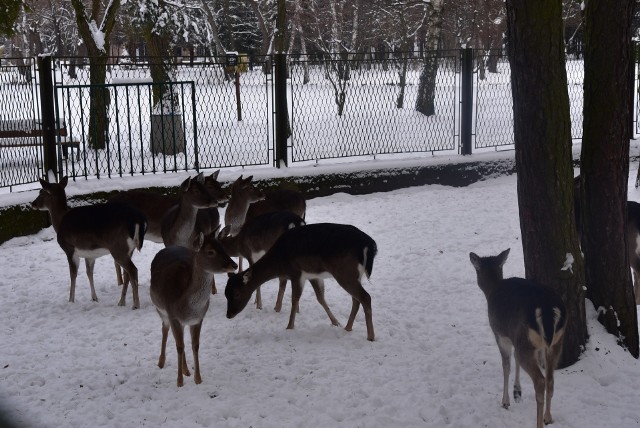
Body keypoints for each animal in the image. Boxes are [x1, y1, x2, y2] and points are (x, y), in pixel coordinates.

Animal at [31, 176, 148, 308]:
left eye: (41, 192)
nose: (33, 204)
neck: (60, 221)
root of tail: (139, 220)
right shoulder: (90, 254)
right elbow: (89, 273)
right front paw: (94, 298)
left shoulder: (69, 249)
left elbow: (73, 274)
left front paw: (71, 300)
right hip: (129, 249)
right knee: (128, 272)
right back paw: (122, 302)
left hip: (118, 247)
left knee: (133, 270)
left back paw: (135, 305)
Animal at [150, 231, 238, 388]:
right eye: (210, 251)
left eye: (223, 247)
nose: (234, 265)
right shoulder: (173, 316)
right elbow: (179, 346)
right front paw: (179, 382)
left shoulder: (198, 319)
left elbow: (194, 346)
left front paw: (198, 379)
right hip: (160, 309)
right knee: (165, 329)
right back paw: (161, 362)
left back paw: (186, 370)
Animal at [225, 224, 378, 342]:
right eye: (226, 294)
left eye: (237, 293)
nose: (228, 315)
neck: (279, 262)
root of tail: (369, 245)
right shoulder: (312, 275)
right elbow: (320, 298)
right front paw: (335, 322)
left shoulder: (296, 273)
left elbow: (295, 299)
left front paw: (289, 326)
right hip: (354, 275)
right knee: (356, 299)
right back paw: (348, 327)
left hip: (344, 272)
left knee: (365, 297)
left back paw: (370, 336)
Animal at [470, 249, 564, 428]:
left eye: (476, 269)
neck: (492, 290)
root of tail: (547, 308)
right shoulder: (518, 337)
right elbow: (515, 360)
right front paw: (517, 391)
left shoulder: (501, 334)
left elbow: (506, 365)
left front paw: (505, 401)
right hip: (556, 341)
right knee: (550, 379)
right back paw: (548, 417)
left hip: (526, 342)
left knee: (540, 381)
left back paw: (539, 422)